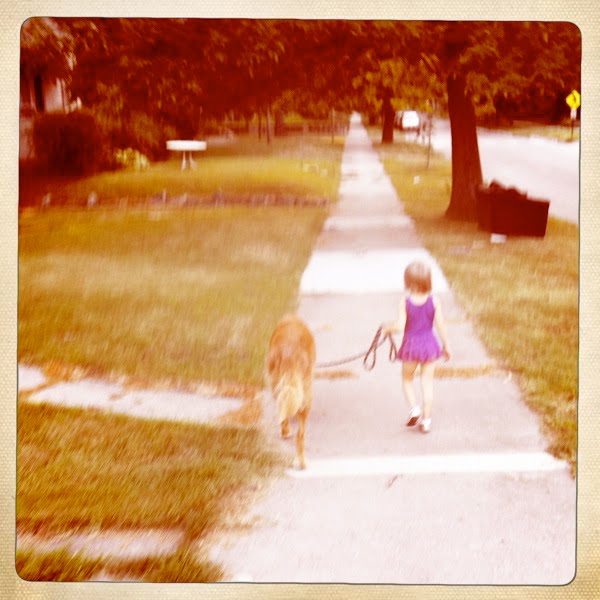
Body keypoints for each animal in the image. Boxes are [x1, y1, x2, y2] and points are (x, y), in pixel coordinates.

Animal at [266, 315, 316, 470]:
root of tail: (290, 352)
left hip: (277, 385)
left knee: (284, 416)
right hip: (306, 396)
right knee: (301, 433)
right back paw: (301, 462)